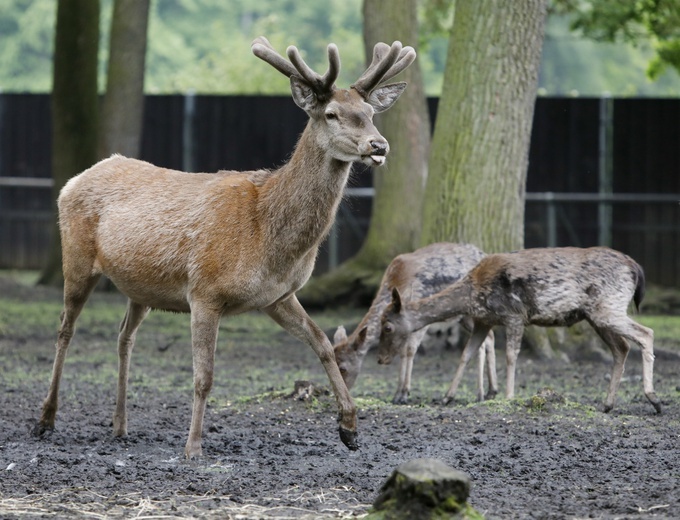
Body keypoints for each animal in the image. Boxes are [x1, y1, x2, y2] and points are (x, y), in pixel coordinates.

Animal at [34, 37, 418, 460]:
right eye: (332, 114)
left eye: (370, 113)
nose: (379, 145)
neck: (267, 237)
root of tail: (74, 180)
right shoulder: (204, 290)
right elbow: (204, 375)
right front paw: (193, 446)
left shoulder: (278, 296)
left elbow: (323, 344)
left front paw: (349, 429)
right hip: (76, 258)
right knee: (64, 329)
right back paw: (45, 420)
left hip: (140, 288)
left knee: (124, 336)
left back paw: (120, 426)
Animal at [334, 242, 496, 404]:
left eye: (343, 368)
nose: (337, 393)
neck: (397, 282)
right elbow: (402, 351)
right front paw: (398, 393)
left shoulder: (421, 319)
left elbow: (409, 350)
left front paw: (404, 393)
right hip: (464, 317)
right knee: (489, 337)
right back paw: (491, 391)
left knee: (482, 342)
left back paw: (477, 393)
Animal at [378, 248, 660, 414]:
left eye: (387, 326)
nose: (381, 359)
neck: (472, 294)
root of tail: (636, 269)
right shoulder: (483, 321)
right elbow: (465, 355)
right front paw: (447, 397)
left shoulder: (514, 315)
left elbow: (512, 356)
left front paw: (508, 395)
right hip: (596, 316)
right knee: (621, 348)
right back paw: (607, 404)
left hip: (609, 306)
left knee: (646, 333)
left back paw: (654, 399)